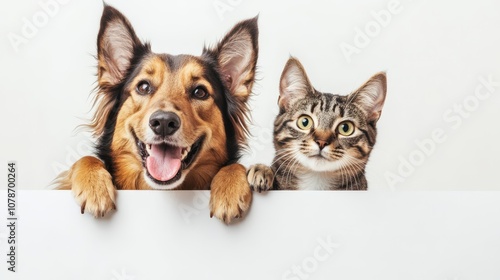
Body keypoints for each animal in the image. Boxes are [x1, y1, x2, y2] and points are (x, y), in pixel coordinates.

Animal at [58, 4, 260, 224]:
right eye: (144, 87)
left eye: (200, 92)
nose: (163, 122)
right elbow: (85, 158)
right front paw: (94, 187)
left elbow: (236, 166)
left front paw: (229, 189)